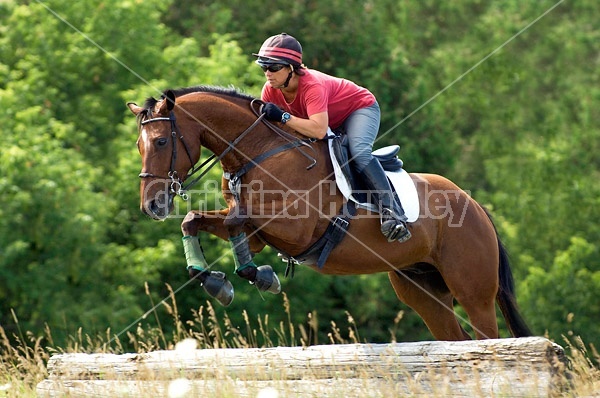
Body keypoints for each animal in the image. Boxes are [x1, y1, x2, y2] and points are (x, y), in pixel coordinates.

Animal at [125, 85, 528, 340]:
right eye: (138, 146)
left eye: (161, 141)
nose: (152, 205)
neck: (259, 151)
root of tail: (476, 207)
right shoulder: (255, 234)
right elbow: (198, 221)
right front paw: (215, 281)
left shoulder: (295, 228)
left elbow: (236, 219)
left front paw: (260, 277)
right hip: (422, 290)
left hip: (473, 291)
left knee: (486, 337)